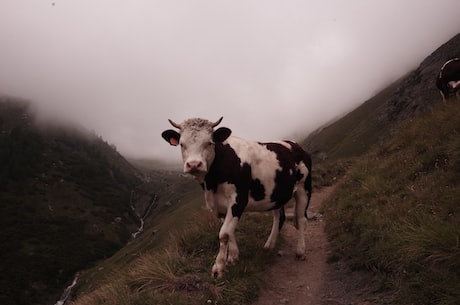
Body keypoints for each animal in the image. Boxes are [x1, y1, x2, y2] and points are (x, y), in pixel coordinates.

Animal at [162, 117, 312, 278]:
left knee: (301, 219)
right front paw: (233, 257)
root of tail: (296, 145)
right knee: (279, 217)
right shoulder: (220, 205)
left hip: (304, 188)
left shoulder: (239, 200)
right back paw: (268, 246)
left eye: (209, 142)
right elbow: (229, 231)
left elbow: (224, 233)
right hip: (277, 195)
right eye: (182, 144)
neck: (211, 185)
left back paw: (300, 251)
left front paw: (218, 268)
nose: (194, 164)